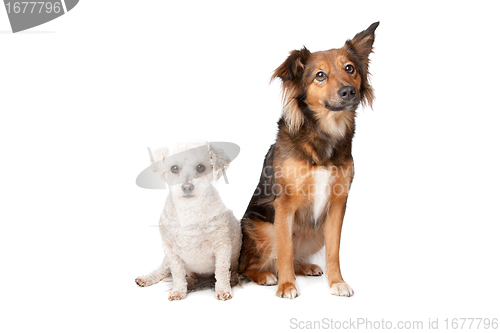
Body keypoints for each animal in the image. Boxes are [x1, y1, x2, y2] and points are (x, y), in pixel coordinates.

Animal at [135, 141, 240, 300]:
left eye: (201, 167)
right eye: (174, 168)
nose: (187, 187)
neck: (190, 211)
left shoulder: (222, 246)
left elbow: (221, 271)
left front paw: (222, 290)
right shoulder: (171, 251)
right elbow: (177, 273)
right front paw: (178, 291)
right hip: (167, 260)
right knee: (164, 271)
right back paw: (148, 279)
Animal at [239, 22, 378, 296]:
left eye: (350, 68)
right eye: (320, 75)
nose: (349, 91)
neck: (324, 134)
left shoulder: (337, 205)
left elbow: (334, 251)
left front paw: (337, 282)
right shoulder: (284, 205)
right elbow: (284, 250)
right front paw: (286, 286)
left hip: (315, 232)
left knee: (295, 257)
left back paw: (305, 267)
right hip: (262, 227)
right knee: (251, 265)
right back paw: (266, 275)